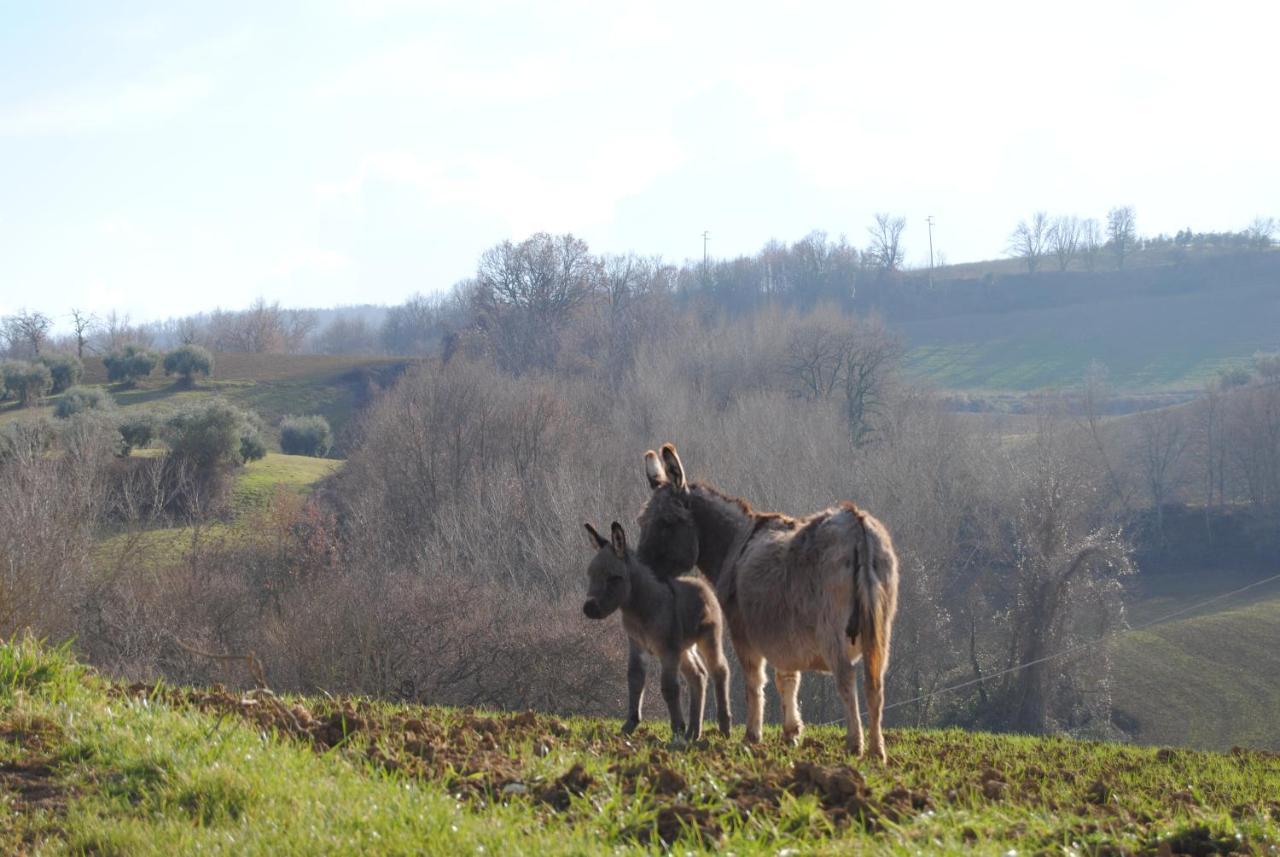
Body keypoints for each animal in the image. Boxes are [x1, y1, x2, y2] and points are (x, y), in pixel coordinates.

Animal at [581, 519, 732, 741]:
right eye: (590, 574)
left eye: (614, 578)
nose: (589, 609)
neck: (640, 608)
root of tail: (701, 583)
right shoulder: (637, 645)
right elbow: (635, 680)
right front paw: (630, 725)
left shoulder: (667, 649)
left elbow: (669, 687)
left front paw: (677, 728)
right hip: (684, 648)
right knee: (698, 676)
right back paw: (693, 732)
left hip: (708, 638)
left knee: (719, 670)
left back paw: (723, 727)